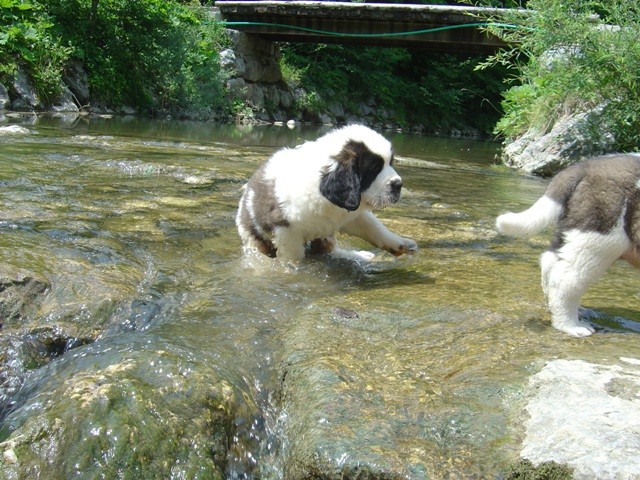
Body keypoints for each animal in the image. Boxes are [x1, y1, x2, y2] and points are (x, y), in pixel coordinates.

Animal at [238, 124, 418, 262]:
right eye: (374, 168)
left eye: (391, 163)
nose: (398, 184)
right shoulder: (286, 230)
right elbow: (294, 256)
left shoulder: (350, 213)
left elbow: (373, 226)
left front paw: (400, 243)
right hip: (252, 237)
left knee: (331, 249)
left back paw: (358, 256)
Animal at [500, 154, 640, 338]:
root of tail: (585, 167)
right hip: (599, 238)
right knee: (565, 279)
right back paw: (571, 326)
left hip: (571, 230)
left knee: (550, 262)